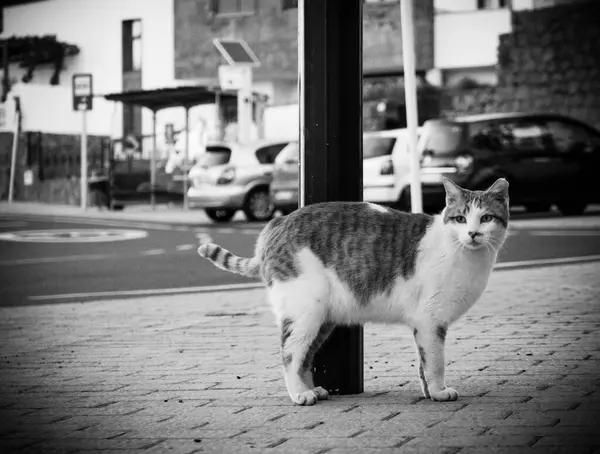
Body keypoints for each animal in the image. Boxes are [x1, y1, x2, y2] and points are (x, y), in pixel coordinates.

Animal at [199, 176, 508, 404]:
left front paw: (428, 392)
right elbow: (435, 362)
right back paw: (299, 394)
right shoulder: (431, 322)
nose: (473, 233)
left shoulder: (425, 327)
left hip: (322, 320)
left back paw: (313, 389)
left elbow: (423, 363)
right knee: (290, 354)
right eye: (460, 219)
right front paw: (439, 392)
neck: (464, 254)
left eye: (486, 218)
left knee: (305, 358)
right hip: (304, 315)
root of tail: (277, 222)